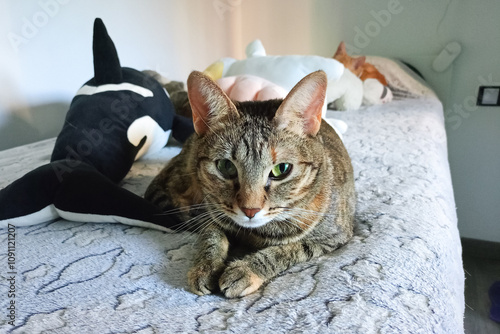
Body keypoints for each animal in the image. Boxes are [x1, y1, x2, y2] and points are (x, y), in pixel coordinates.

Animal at [145, 70, 356, 298]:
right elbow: (211, 237)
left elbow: (287, 250)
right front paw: (205, 266)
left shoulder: (333, 236)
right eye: (226, 166)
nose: (250, 210)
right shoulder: (211, 213)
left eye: (281, 169)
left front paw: (245, 270)